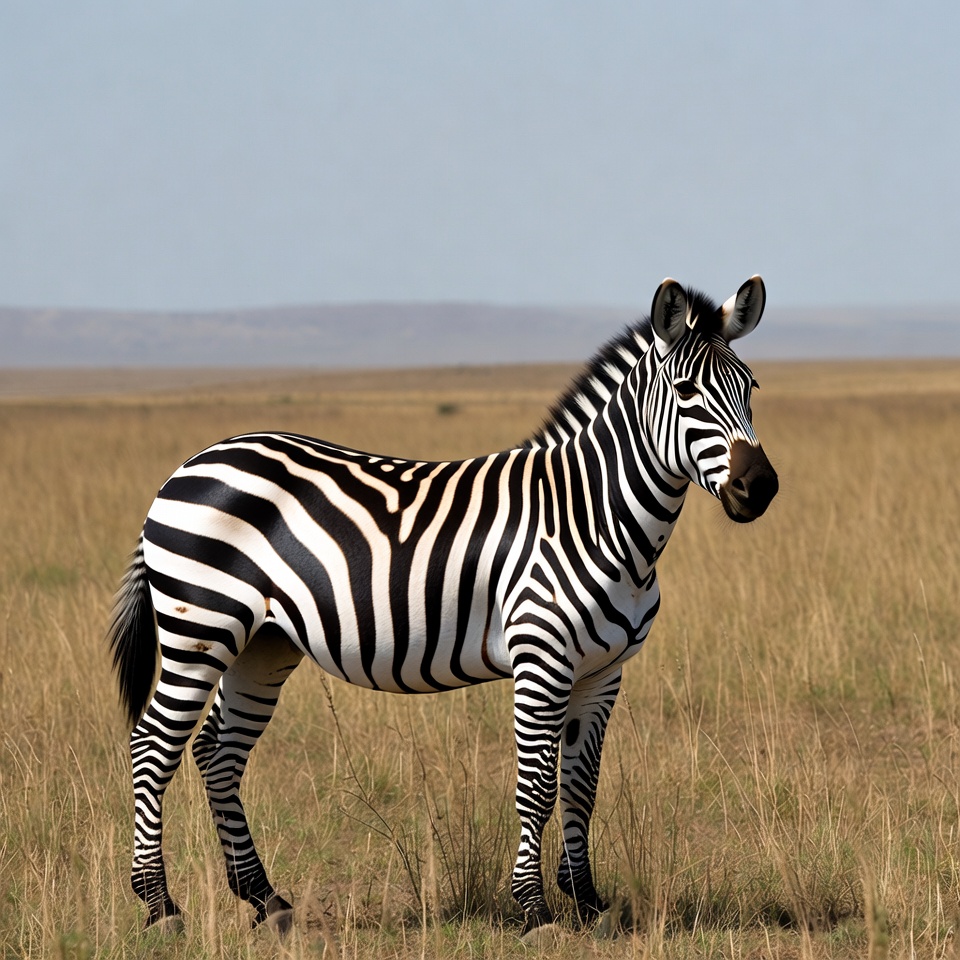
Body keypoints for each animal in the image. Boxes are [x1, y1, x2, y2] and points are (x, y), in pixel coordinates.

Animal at [108, 276, 778, 935]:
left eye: (751, 387)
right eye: (686, 391)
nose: (761, 488)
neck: (594, 517)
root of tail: (192, 464)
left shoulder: (604, 671)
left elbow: (581, 786)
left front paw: (587, 902)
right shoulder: (542, 660)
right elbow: (537, 786)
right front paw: (535, 911)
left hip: (262, 642)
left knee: (217, 751)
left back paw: (265, 900)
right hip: (201, 628)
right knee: (152, 747)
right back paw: (160, 907)